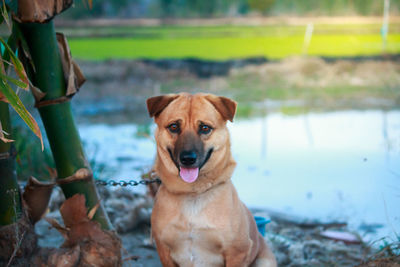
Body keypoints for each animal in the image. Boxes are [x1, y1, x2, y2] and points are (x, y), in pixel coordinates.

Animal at [146, 93, 276, 266]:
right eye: (173, 127)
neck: (192, 193)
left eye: (205, 128)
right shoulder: (164, 251)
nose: (188, 159)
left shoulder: (237, 252)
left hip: (264, 261)